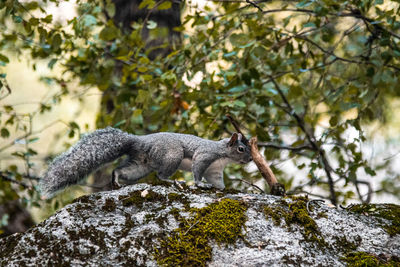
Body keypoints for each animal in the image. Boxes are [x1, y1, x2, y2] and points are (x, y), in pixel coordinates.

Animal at [41, 126, 253, 198]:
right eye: (241, 149)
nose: (251, 158)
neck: (223, 153)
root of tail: (140, 141)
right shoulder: (205, 156)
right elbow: (198, 171)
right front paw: (200, 184)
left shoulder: (215, 170)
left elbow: (218, 181)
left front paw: (222, 189)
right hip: (172, 155)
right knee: (161, 175)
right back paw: (173, 181)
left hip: (141, 165)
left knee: (122, 170)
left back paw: (116, 179)